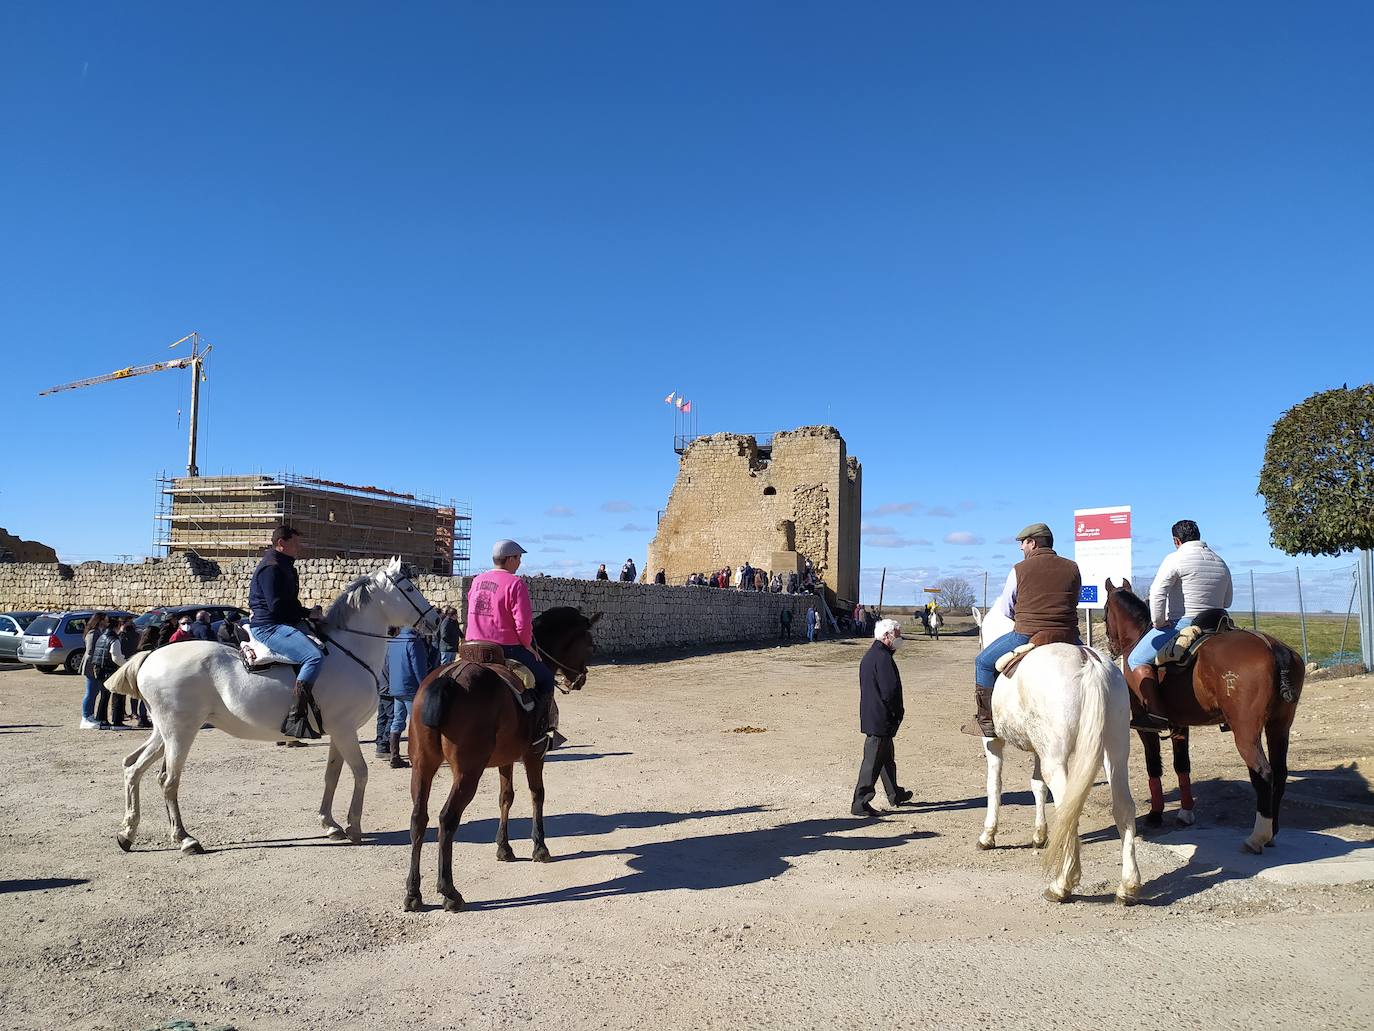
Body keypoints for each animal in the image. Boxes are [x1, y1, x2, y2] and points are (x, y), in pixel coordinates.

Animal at [115, 558, 434, 857]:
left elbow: (332, 775)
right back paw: (185, 838)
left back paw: (127, 833)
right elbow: (361, 772)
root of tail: (151, 657)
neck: (350, 653)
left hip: (164, 733)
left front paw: (330, 824)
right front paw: (354, 826)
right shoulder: (345, 730)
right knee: (168, 781)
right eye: (409, 588)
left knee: (133, 768)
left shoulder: (339, 731)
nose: (432, 618)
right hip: (180, 733)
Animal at [401, 610, 599, 918]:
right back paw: (449, 891)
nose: (581, 679)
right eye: (589, 645)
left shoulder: (506, 759)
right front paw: (539, 847)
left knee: (418, 819)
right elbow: (537, 795)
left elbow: (506, 797)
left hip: (423, 767)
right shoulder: (534, 755)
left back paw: (413, 893)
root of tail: (450, 678)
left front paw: (504, 848)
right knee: (447, 819)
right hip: (467, 773)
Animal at [967, 604, 1137, 901]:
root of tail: (1087, 661)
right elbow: (1037, 786)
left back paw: (1061, 885)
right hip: (1115, 753)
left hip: (1056, 761)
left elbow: (994, 785)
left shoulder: (992, 742)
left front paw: (988, 836)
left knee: (1067, 808)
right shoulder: (1039, 749)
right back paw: (1127, 887)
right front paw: (1039, 835)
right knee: (1124, 807)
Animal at [1099, 582, 1302, 857]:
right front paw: (1185, 813)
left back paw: (1257, 837)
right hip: (1279, 727)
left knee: (1264, 773)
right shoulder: (1179, 725)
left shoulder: (1145, 729)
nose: (1111, 646)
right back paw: (1273, 832)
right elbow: (1182, 766)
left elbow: (1154, 767)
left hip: (1246, 733)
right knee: (1280, 773)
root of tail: (1273, 647)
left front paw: (1155, 814)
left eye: (1105, 611)